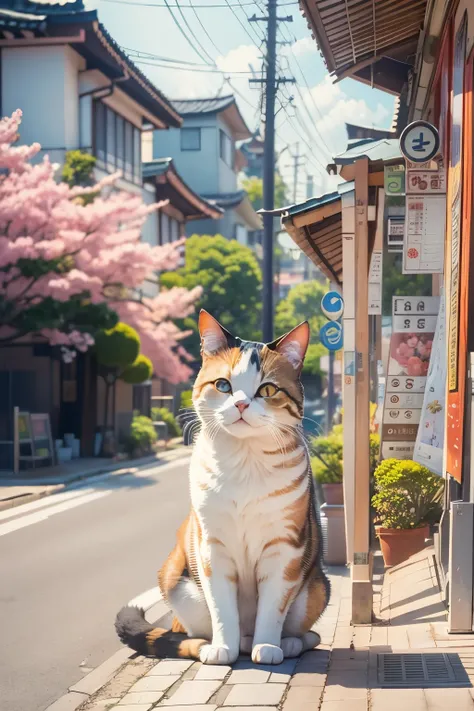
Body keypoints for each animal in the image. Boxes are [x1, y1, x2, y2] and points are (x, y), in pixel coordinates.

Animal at [115, 312, 330, 668]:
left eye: (267, 389)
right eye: (223, 385)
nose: (241, 404)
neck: (244, 462)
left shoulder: (284, 545)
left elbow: (273, 607)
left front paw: (267, 646)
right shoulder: (211, 544)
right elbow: (221, 606)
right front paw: (221, 648)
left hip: (317, 587)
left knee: (309, 632)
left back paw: (286, 644)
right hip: (175, 579)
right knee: (192, 631)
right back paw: (222, 644)